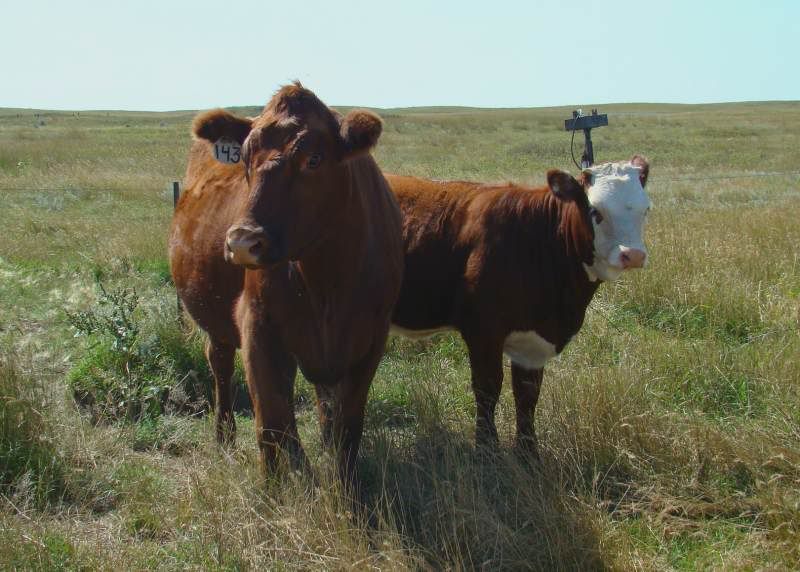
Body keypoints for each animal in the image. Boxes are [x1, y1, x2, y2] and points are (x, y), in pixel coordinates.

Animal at [169, 83, 404, 483]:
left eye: (314, 159)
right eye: (246, 160)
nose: (242, 241)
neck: (328, 281)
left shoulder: (371, 338)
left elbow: (348, 427)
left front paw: (344, 484)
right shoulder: (259, 329)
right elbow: (272, 423)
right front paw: (276, 486)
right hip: (218, 325)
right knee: (220, 365)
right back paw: (224, 436)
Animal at [386, 156, 650, 457]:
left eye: (646, 209)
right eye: (596, 211)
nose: (633, 255)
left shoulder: (533, 341)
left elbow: (527, 396)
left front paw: (528, 454)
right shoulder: (484, 332)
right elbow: (487, 390)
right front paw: (486, 450)